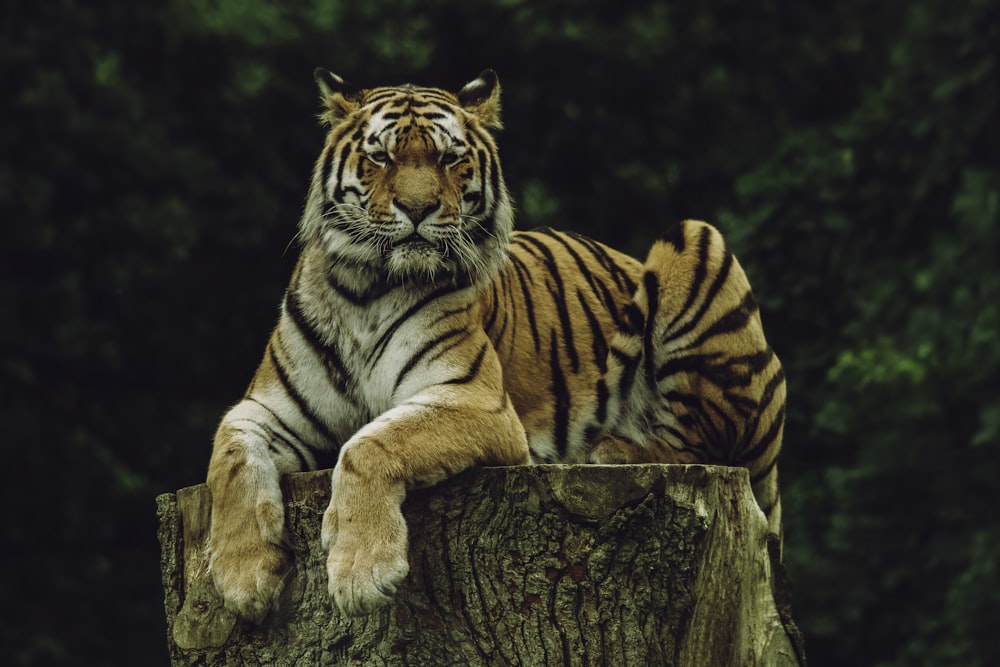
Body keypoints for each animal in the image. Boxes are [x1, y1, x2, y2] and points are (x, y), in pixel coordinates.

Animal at [207, 68, 784, 620]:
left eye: (449, 158)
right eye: (381, 156)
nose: (417, 207)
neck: (365, 291)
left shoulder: (475, 400)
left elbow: (369, 444)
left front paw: (362, 574)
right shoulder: (268, 408)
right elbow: (229, 460)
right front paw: (242, 578)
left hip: (696, 239)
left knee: (707, 443)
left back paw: (611, 449)